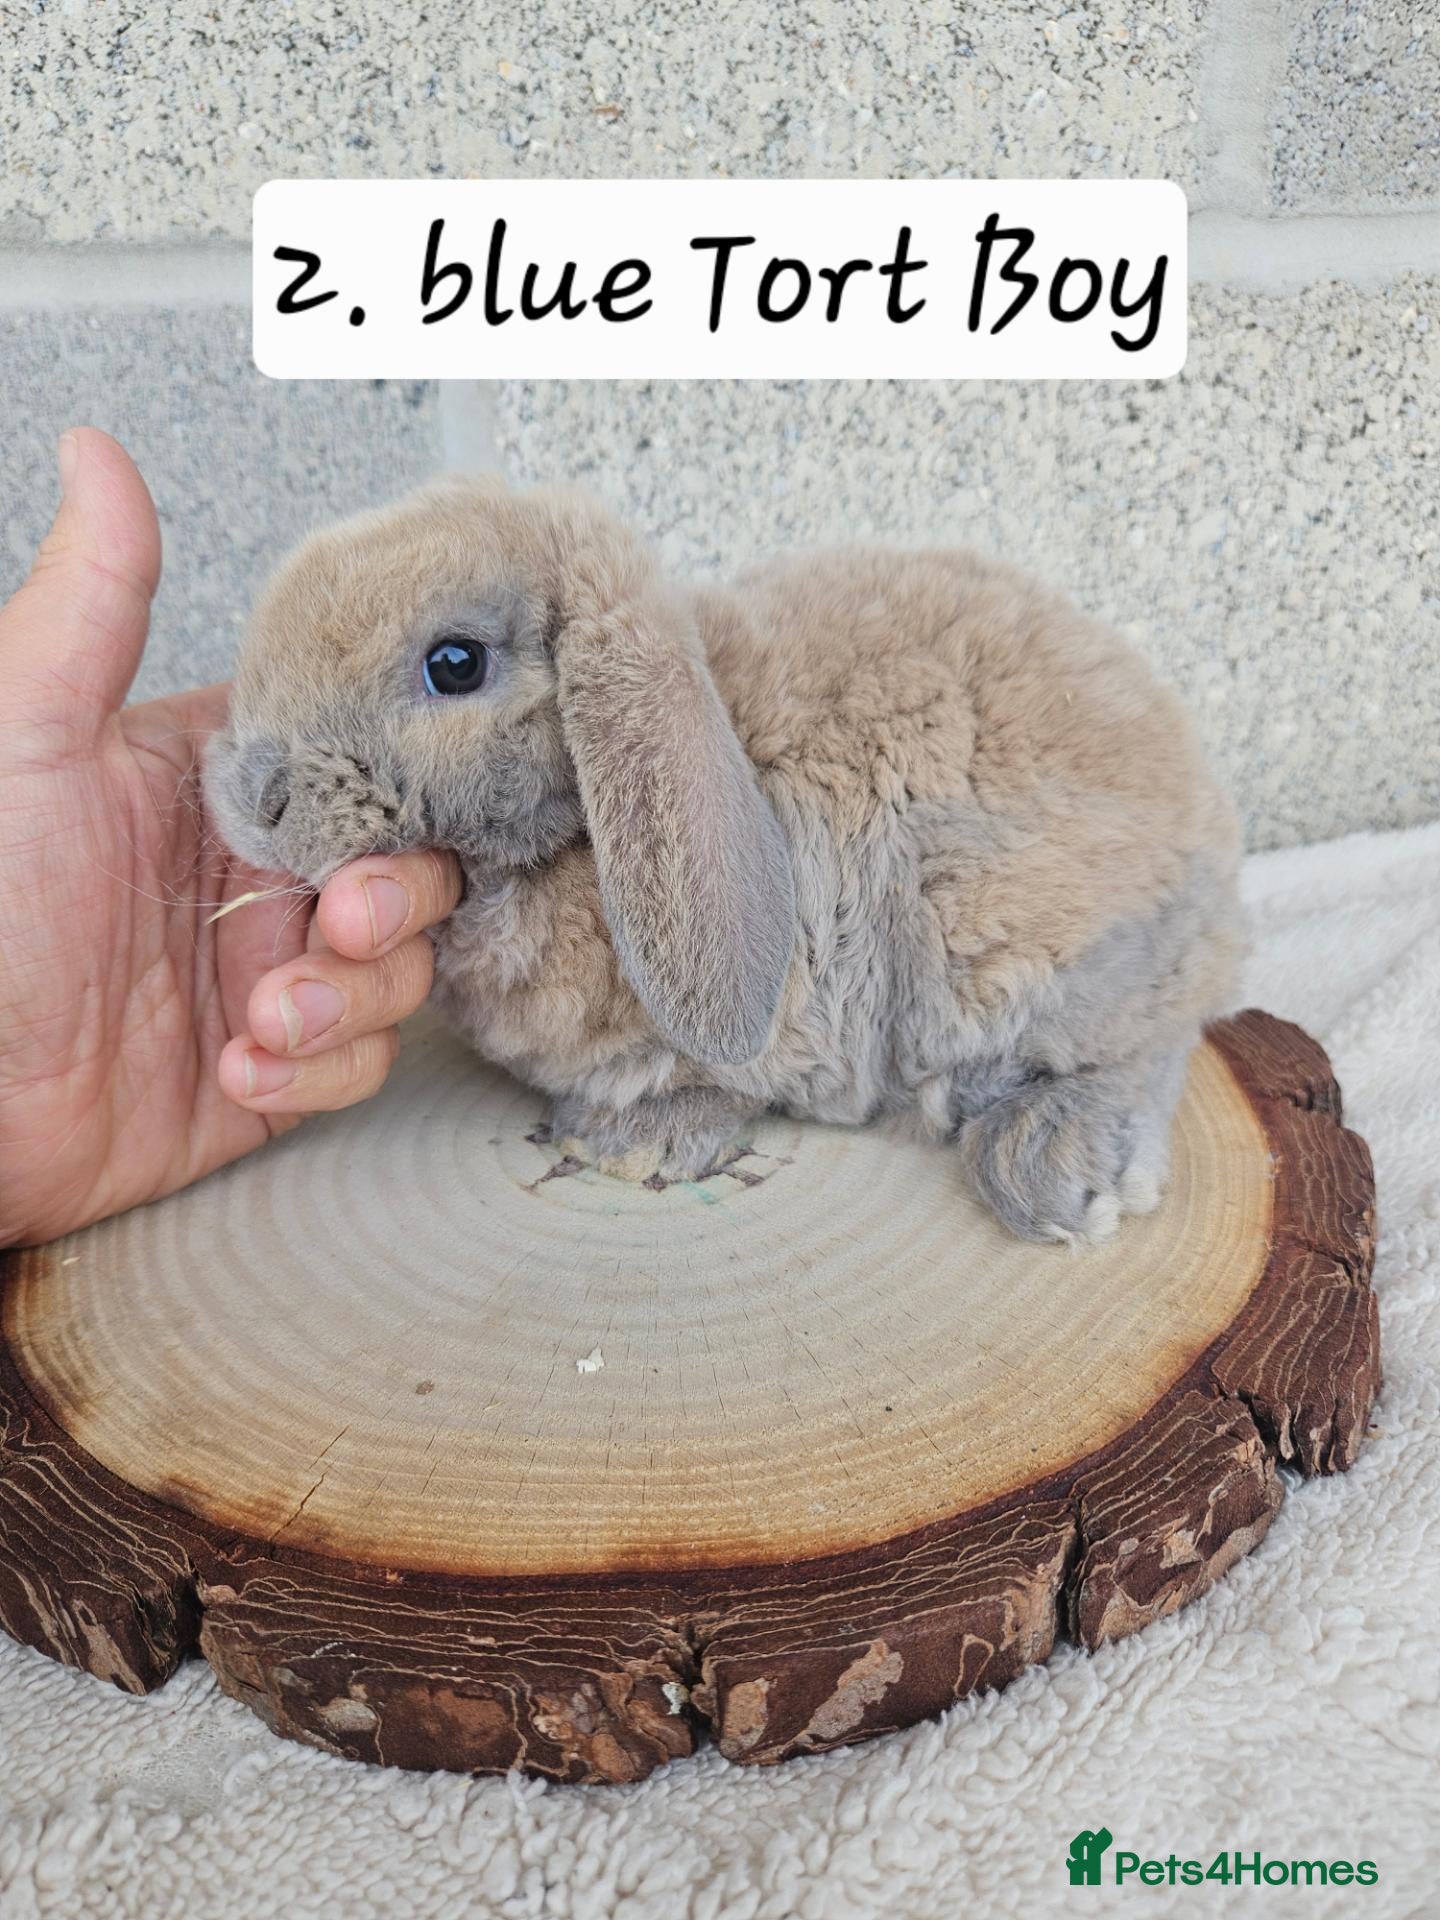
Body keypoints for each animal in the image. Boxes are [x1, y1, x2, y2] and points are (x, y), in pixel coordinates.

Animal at [204, 477, 1243, 1243]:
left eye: (455, 663)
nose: (256, 800)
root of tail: (1212, 841)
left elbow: (713, 1085)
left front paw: (623, 1143)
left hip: (1009, 942)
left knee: (1145, 1047)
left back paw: (1052, 1165)